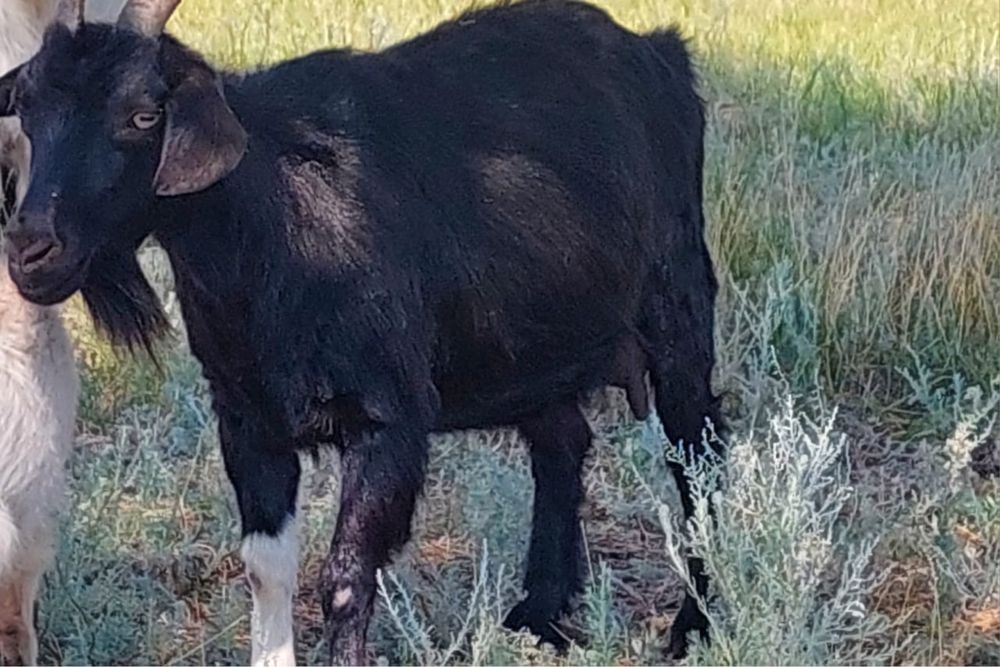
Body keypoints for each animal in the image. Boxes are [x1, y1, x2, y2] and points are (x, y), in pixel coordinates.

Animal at [0, 0, 726, 663]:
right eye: (29, 106)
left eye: (144, 114)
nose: (31, 249)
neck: (277, 213)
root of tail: (657, 52)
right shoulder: (246, 417)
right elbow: (267, 569)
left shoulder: (387, 419)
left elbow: (346, 576)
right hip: (531, 344)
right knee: (562, 443)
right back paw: (538, 615)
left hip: (678, 305)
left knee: (697, 450)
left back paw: (694, 624)